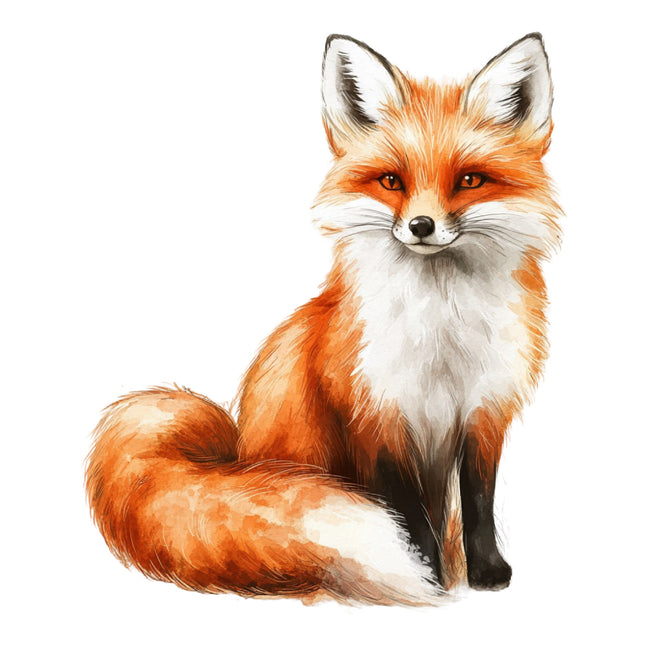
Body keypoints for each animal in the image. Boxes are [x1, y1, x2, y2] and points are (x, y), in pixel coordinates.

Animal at [85, 33, 561, 606]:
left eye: (469, 180)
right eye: (391, 181)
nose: (421, 226)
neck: (441, 335)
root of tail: (237, 456)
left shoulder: (484, 411)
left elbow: (480, 502)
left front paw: (486, 572)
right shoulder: (376, 414)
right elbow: (407, 511)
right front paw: (427, 574)